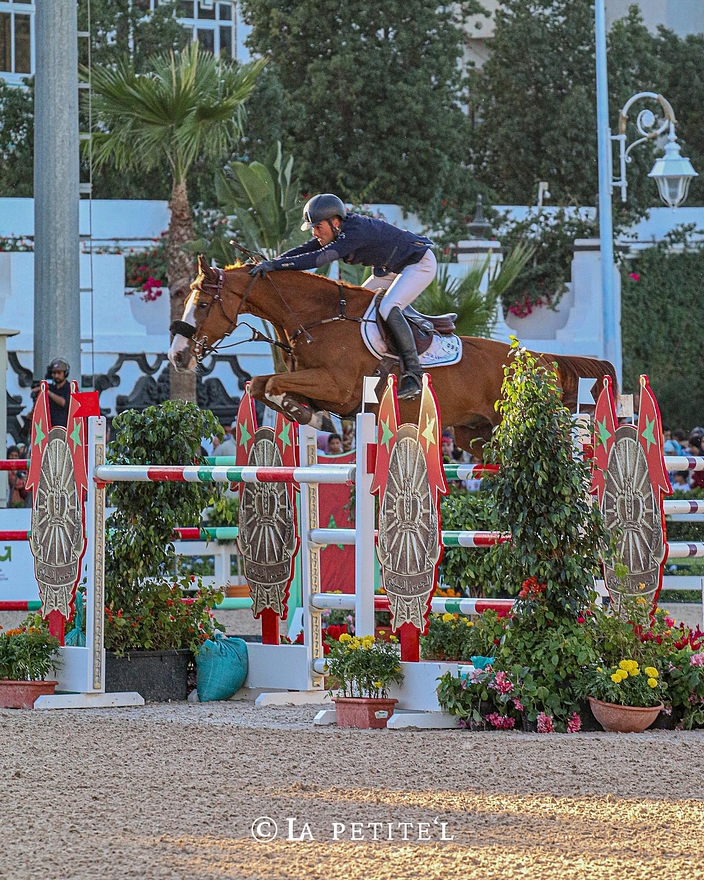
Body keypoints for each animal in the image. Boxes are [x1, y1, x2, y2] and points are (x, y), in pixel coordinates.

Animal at [169, 256, 616, 454]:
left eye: (203, 304)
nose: (177, 356)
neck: (315, 318)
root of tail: (540, 358)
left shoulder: (339, 387)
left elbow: (272, 383)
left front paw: (310, 416)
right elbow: (261, 384)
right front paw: (307, 415)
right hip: (474, 435)